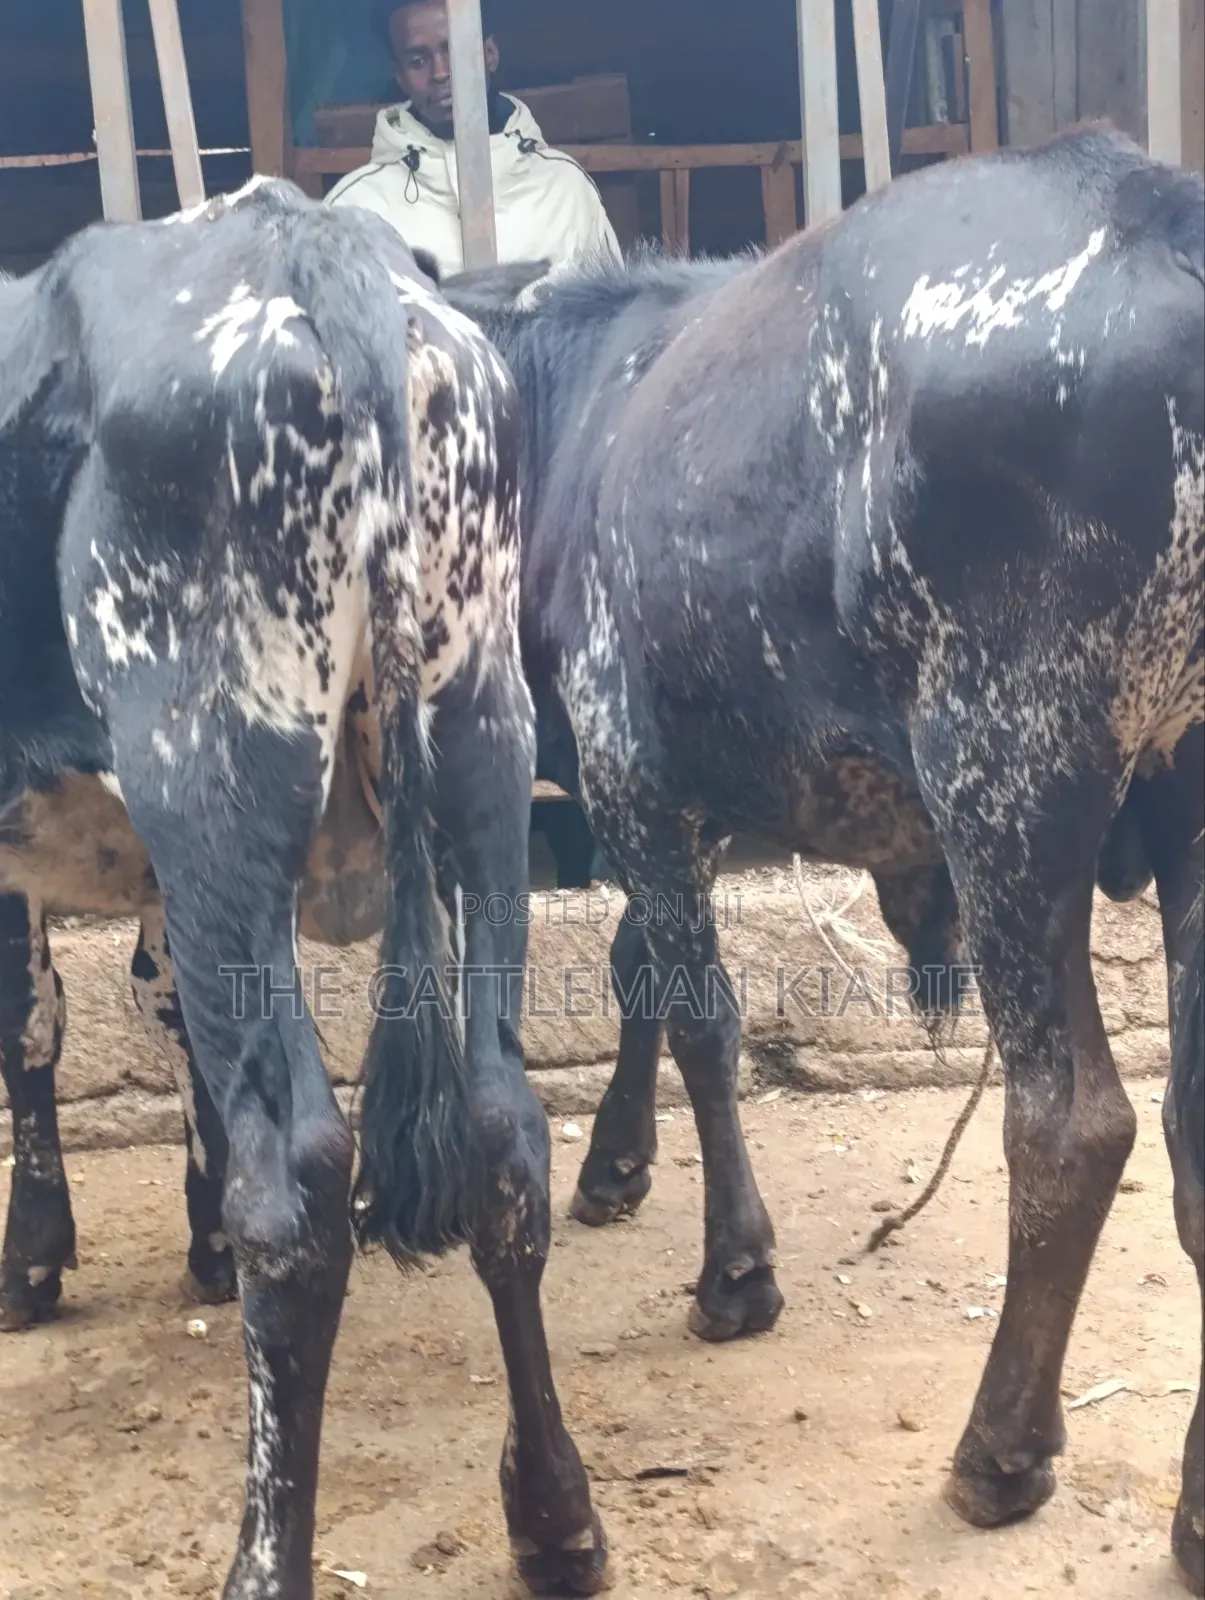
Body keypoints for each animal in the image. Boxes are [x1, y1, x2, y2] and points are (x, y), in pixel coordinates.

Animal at [0, 179, 607, 1599]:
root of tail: (314, 243)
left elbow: (35, 1024)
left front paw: (35, 1250)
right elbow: (154, 1005)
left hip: (209, 769)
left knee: (301, 1180)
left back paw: (264, 1559)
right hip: (482, 738)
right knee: (502, 1130)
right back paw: (554, 1514)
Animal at [439, 126, 1205, 1590]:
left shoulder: (630, 766)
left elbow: (701, 1016)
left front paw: (734, 1271)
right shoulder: (680, 795)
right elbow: (638, 970)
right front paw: (616, 1165)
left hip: (1007, 777)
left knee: (1072, 1121)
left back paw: (997, 1452)